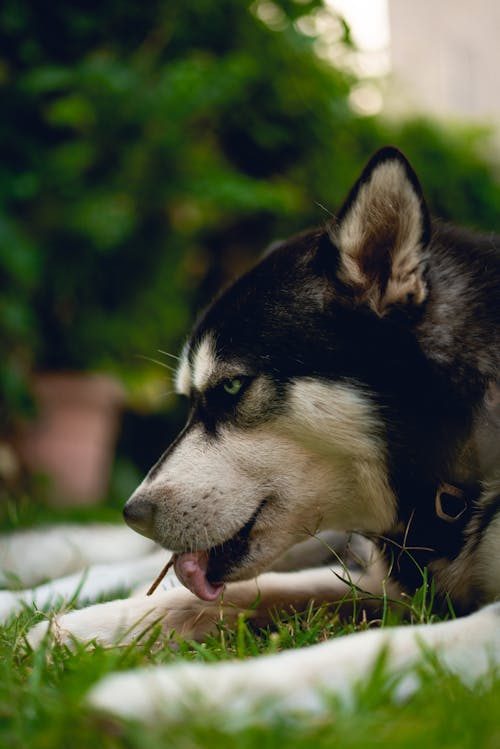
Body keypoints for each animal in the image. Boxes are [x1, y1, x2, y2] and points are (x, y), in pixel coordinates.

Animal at [23, 150, 500, 720]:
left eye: (231, 385)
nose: (135, 513)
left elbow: (370, 648)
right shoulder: (379, 584)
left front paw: (176, 694)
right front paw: (82, 628)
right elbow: (238, 591)